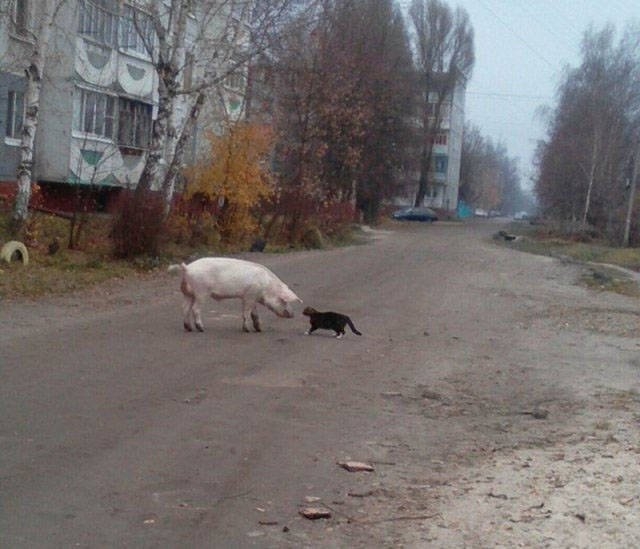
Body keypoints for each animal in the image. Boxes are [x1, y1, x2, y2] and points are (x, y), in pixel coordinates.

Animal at [169, 258, 302, 332]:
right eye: (284, 301)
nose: (293, 314)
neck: (267, 286)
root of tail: (187, 268)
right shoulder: (249, 296)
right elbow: (246, 313)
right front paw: (247, 330)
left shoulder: (252, 297)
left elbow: (254, 314)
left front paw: (259, 329)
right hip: (201, 292)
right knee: (195, 309)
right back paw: (201, 329)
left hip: (188, 294)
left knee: (185, 308)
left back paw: (188, 328)